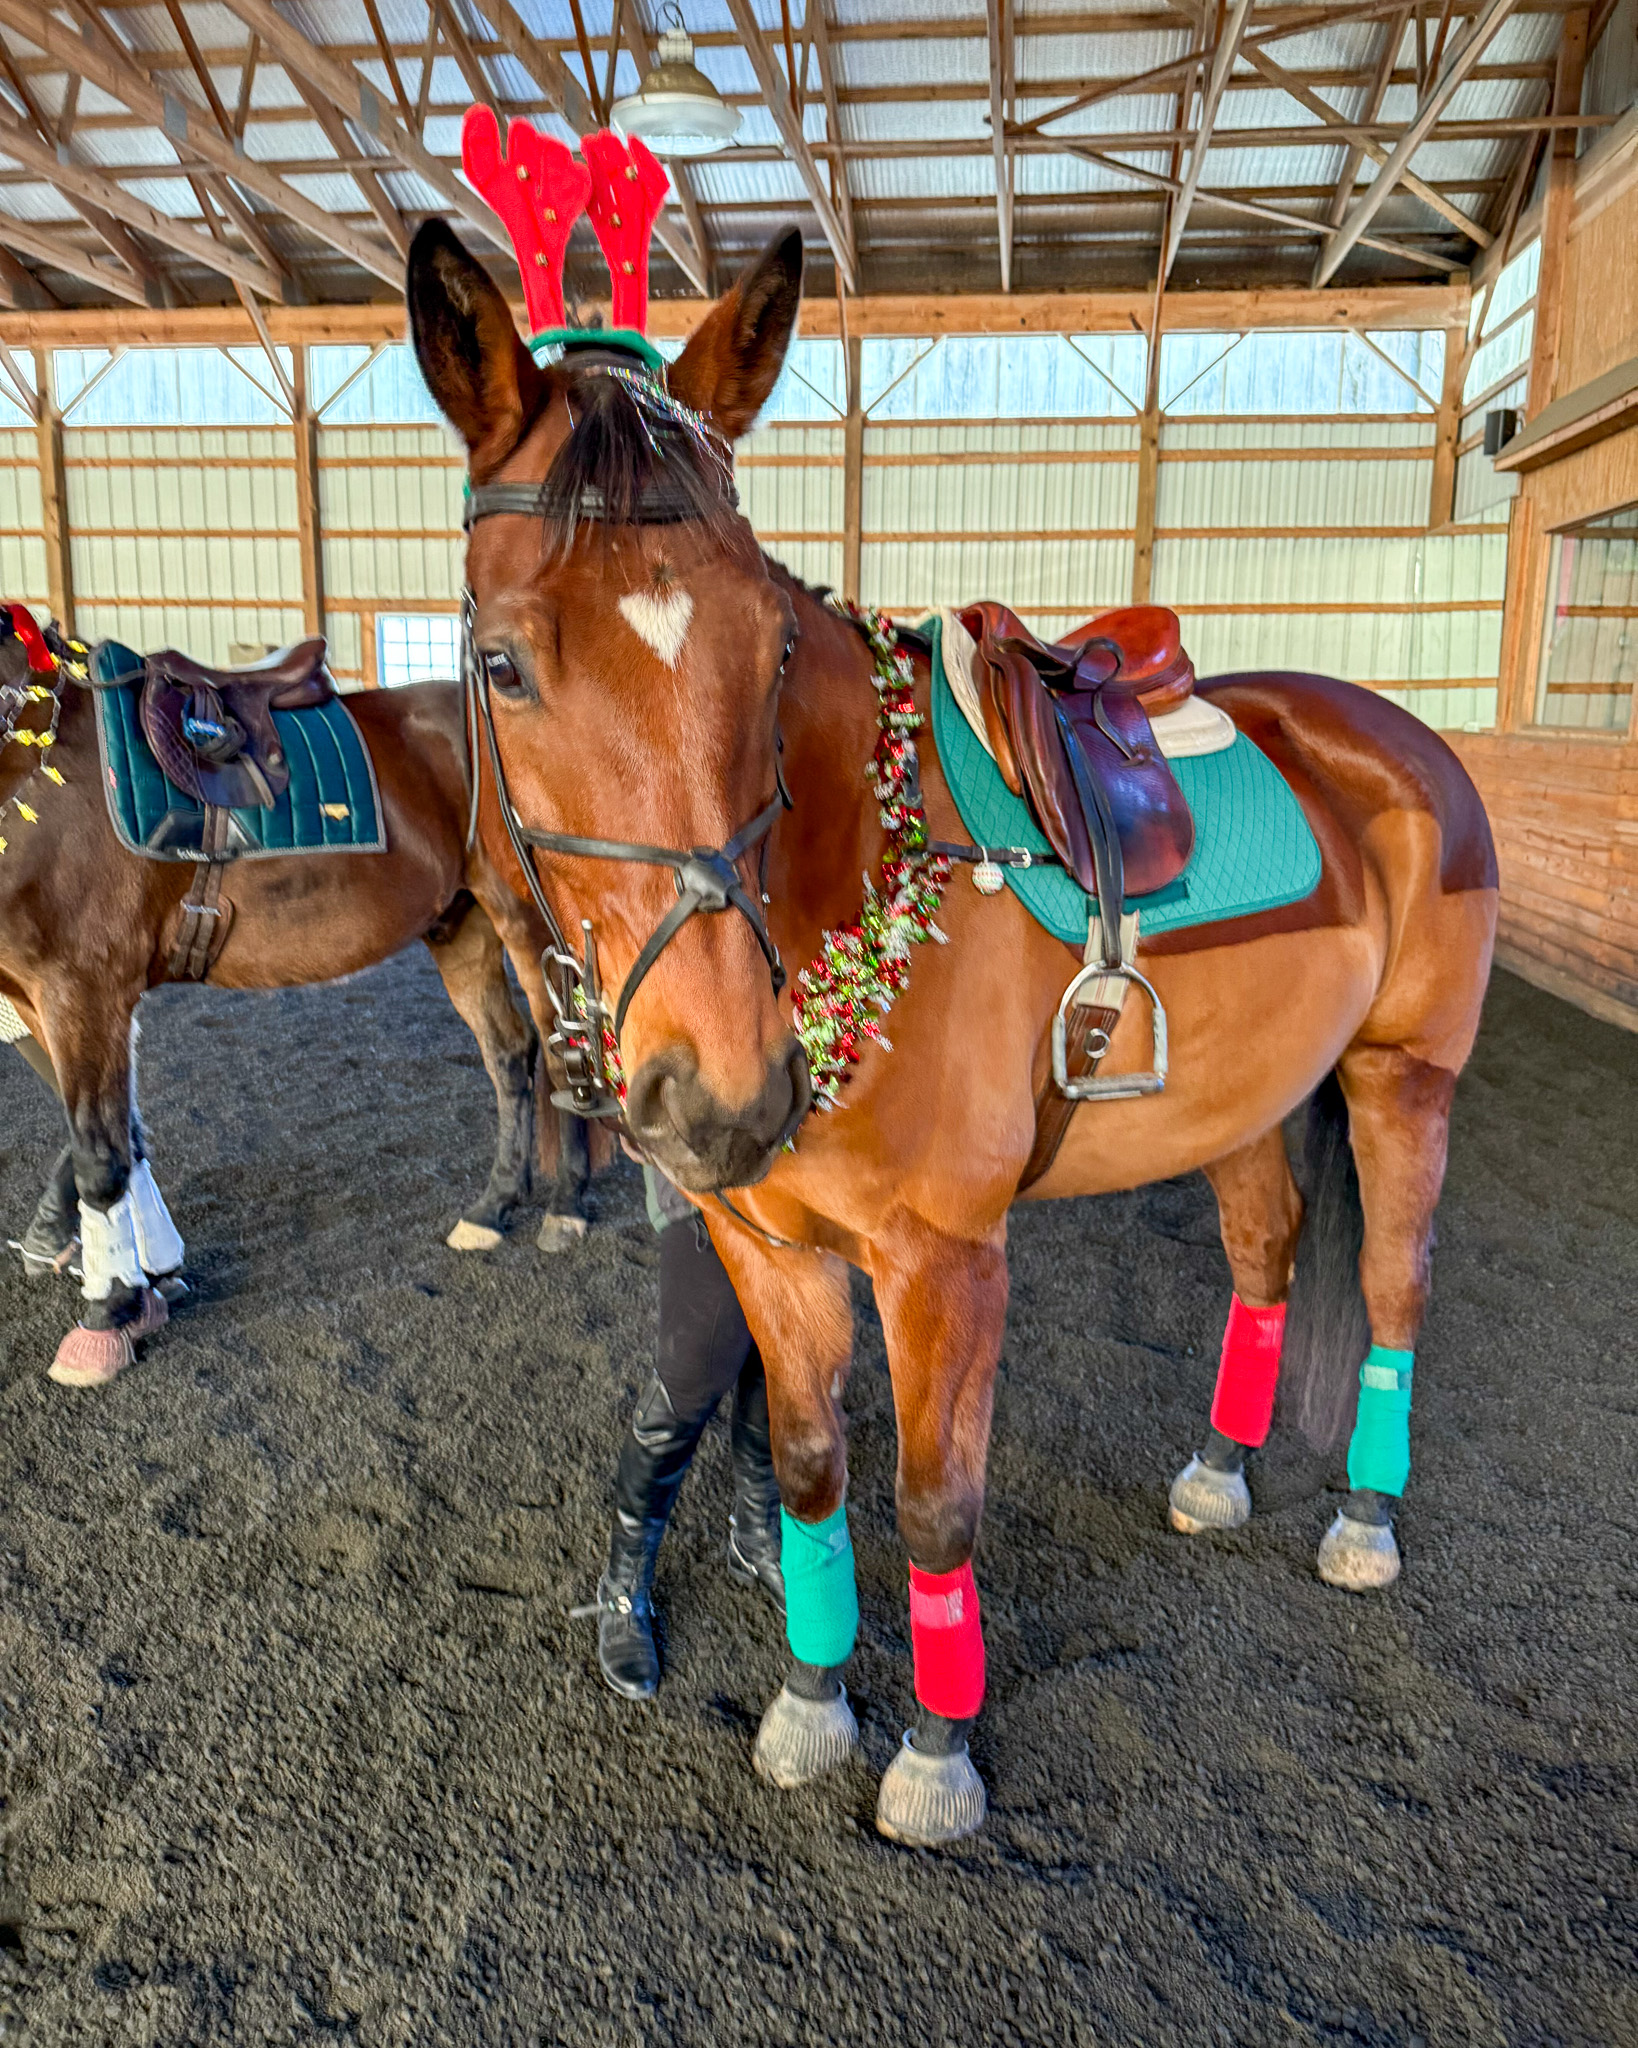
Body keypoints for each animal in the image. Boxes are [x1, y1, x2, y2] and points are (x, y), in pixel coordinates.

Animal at [0, 610, 599, 1386]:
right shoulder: (41, 998)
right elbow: (123, 1137)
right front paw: (151, 1279)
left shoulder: (83, 988)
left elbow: (100, 1157)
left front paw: (107, 1314)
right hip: (460, 924)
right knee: (509, 1054)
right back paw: (493, 1207)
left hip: (525, 919)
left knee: (561, 1050)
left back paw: (567, 1205)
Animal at [406, 218, 1498, 1848]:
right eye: (501, 665)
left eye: (769, 653)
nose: (725, 1098)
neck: (858, 877)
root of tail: (1405, 740)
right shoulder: (766, 1246)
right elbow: (808, 1473)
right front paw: (810, 1703)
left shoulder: (945, 1267)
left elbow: (933, 1501)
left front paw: (934, 1751)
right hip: (1242, 1107)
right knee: (1265, 1252)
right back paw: (1221, 1471)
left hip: (1402, 1083)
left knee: (1391, 1281)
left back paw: (1363, 1514)